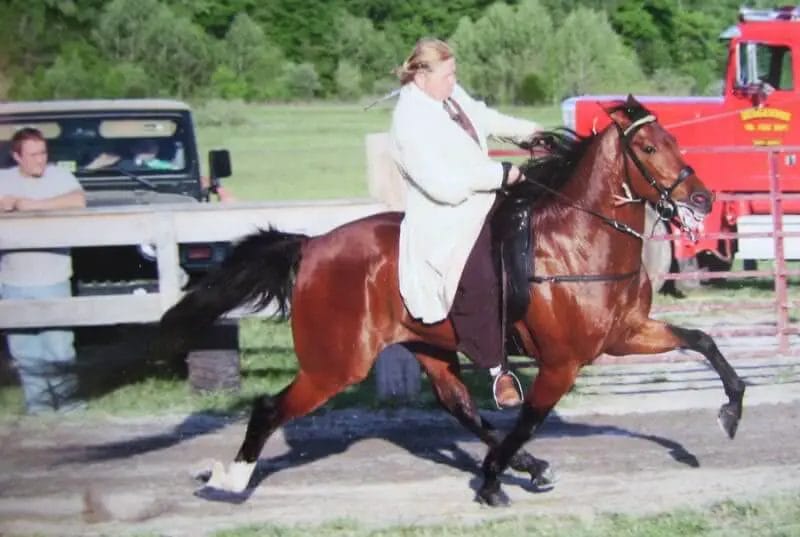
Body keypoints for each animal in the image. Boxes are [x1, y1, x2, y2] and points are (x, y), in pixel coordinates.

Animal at [160, 95, 745, 506]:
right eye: (648, 149)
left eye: (672, 140)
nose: (702, 199)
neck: (577, 243)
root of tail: (310, 246)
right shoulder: (562, 362)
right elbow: (531, 417)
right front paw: (488, 484)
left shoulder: (625, 334)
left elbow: (703, 341)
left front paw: (731, 411)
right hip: (335, 365)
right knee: (270, 408)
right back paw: (230, 479)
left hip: (427, 345)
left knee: (458, 405)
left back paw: (528, 465)